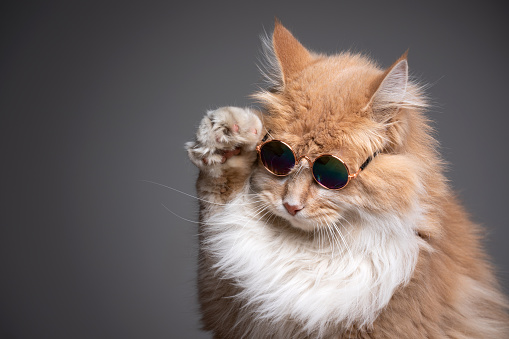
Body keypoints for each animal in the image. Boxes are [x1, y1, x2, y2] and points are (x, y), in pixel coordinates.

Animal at [185, 21, 506, 339]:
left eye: (330, 173)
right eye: (278, 157)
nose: (290, 206)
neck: (311, 251)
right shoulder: (226, 304)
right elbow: (217, 208)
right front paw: (227, 138)